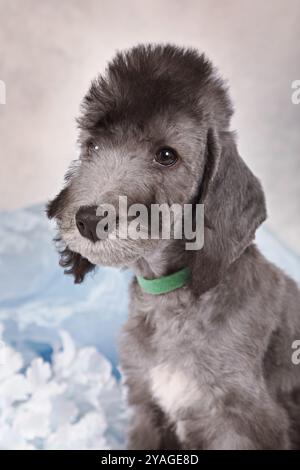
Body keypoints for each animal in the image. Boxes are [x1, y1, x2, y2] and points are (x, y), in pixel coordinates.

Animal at [47, 45, 300, 452]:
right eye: (93, 146)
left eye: (166, 155)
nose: (88, 219)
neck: (170, 298)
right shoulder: (147, 409)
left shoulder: (242, 424)